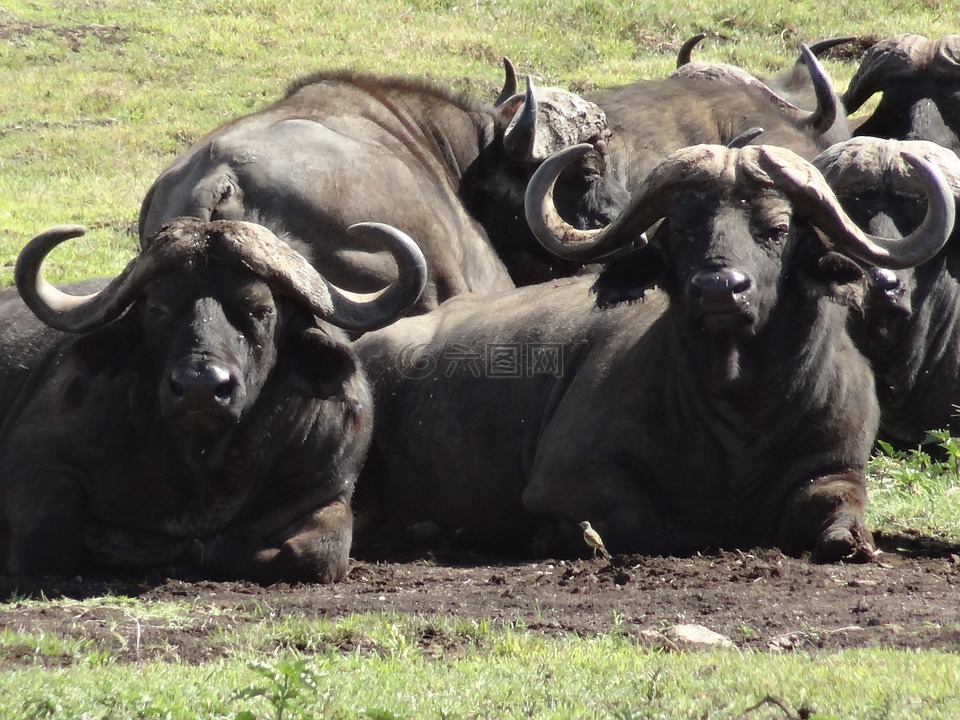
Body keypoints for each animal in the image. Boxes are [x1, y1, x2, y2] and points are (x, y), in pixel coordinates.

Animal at [0, 217, 428, 584]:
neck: (205, 468)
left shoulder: (329, 487)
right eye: (158, 309)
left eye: (261, 310)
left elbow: (317, 554)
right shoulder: (38, 465)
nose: (200, 387)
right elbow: (48, 545)